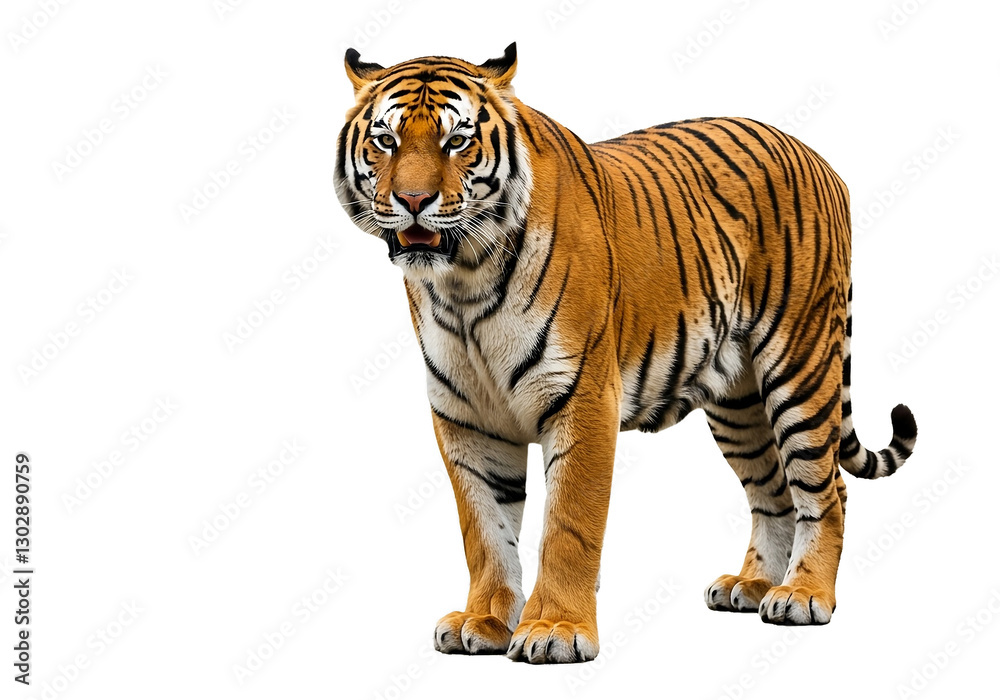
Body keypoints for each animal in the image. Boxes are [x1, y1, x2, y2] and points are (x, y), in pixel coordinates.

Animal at [334, 42, 918, 664]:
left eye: (457, 141)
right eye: (386, 141)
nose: (413, 200)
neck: (462, 280)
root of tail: (818, 158)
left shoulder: (582, 397)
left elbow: (569, 525)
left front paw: (555, 630)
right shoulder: (466, 417)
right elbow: (484, 529)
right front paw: (484, 621)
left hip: (799, 366)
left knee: (826, 488)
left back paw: (804, 596)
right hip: (739, 405)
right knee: (774, 492)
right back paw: (753, 585)